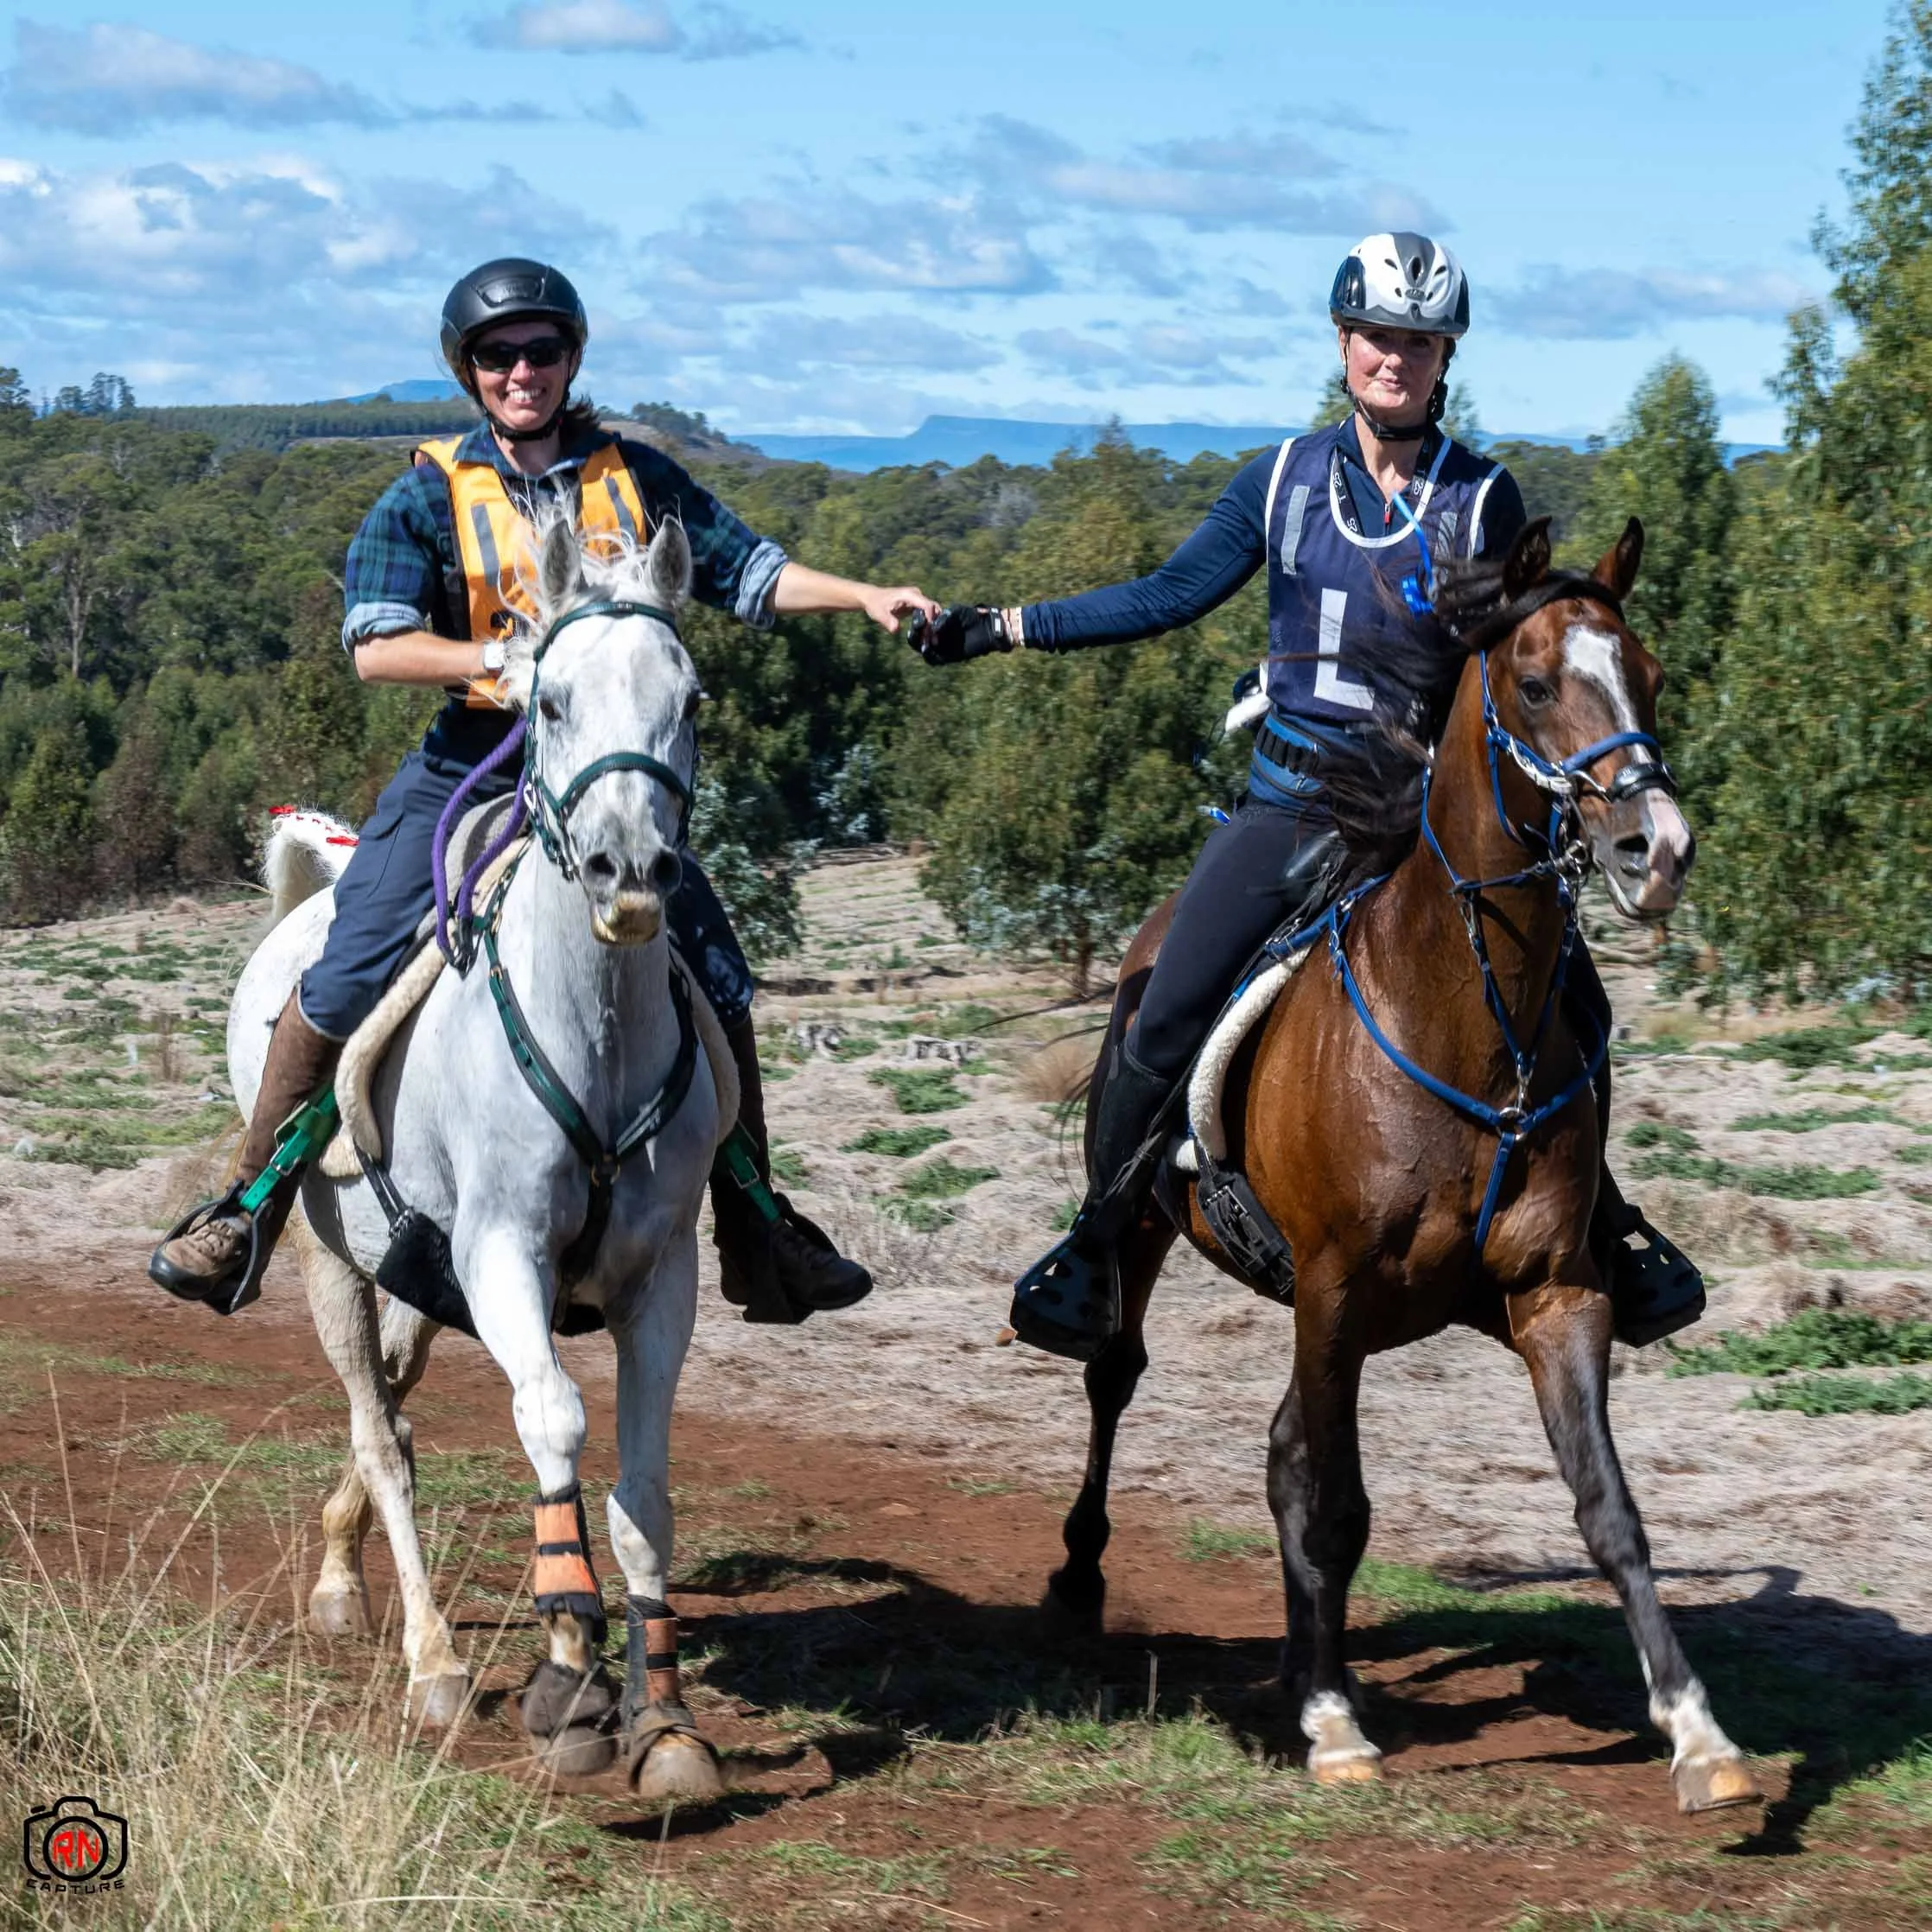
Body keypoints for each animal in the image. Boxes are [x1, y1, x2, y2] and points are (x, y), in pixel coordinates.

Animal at [226, 514, 727, 1800]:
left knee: (396, 1414)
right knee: (382, 1436)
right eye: (547, 699)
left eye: (690, 697)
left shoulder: (663, 1278)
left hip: (414, 1280)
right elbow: (550, 1420)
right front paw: (569, 1679)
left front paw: (665, 1719)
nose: (628, 871)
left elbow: (644, 1490)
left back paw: (343, 1569)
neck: (592, 1034)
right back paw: (428, 1659)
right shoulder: (506, 1254)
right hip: (332, 1265)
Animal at [1049, 516, 1762, 1814]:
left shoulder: (1554, 1295)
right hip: (1154, 1236)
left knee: (1285, 1450)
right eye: (1535, 684)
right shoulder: (1333, 1291)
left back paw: (1298, 1661)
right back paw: (1090, 1578)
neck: (1462, 1015)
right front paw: (1337, 1723)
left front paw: (1700, 1734)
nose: (1659, 850)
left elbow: (1609, 1510)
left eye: (1650, 675)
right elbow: (1335, 1507)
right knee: (1117, 1373)